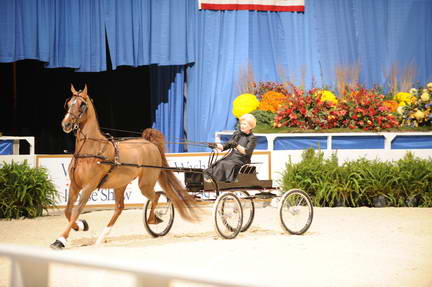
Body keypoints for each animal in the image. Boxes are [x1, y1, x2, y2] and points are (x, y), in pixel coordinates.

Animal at [50, 85, 199, 250]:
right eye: (69, 103)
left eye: (82, 105)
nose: (66, 124)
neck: (90, 150)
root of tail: (150, 144)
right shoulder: (75, 185)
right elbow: (68, 211)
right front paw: (82, 225)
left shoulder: (89, 187)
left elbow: (76, 210)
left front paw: (60, 240)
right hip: (120, 185)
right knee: (120, 207)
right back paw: (101, 238)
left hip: (145, 184)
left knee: (156, 197)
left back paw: (153, 219)